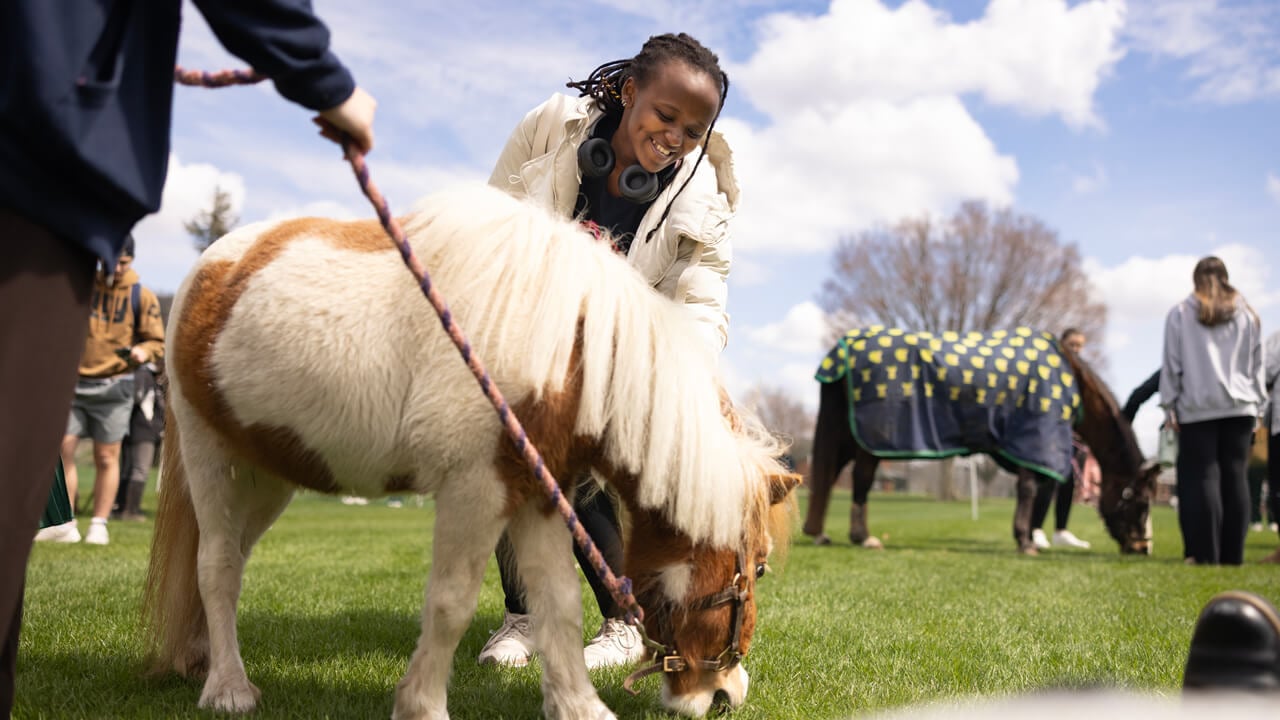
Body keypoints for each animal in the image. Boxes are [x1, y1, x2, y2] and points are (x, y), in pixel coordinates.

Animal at [141, 183, 800, 719]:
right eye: (759, 567)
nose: (724, 695)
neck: (569, 350)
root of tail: (210, 267)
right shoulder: (475, 491)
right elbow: (451, 603)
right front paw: (423, 706)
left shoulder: (537, 495)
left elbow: (559, 603)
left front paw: (578, 706)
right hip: (208, 455)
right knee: (216, 566)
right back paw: (228, 688)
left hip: (267, 476)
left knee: (229, 558)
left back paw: (201, 657)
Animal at [801, 327, 1157, 555]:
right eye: (1140, 504)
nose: (1142, 548)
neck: (1069, 379)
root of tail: (844, 347)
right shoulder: (1030, 441)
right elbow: (1029, 491)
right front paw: (1025, 542)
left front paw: (1027, 538)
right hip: (870, 440)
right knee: (860, 481)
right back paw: (863, 537)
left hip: (849, 435)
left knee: (829, 477)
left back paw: (821, 533)